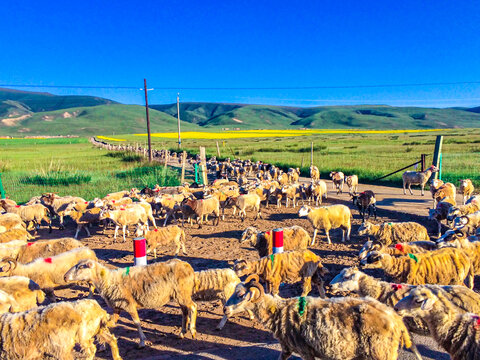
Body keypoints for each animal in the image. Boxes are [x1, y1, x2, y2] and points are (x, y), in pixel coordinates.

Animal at [224, 276, 420, 360]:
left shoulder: (305, 351)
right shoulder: (287, 348)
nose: (225, 308)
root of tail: (396, 319)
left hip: (381, 352)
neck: (279, 311)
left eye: (240, 295)